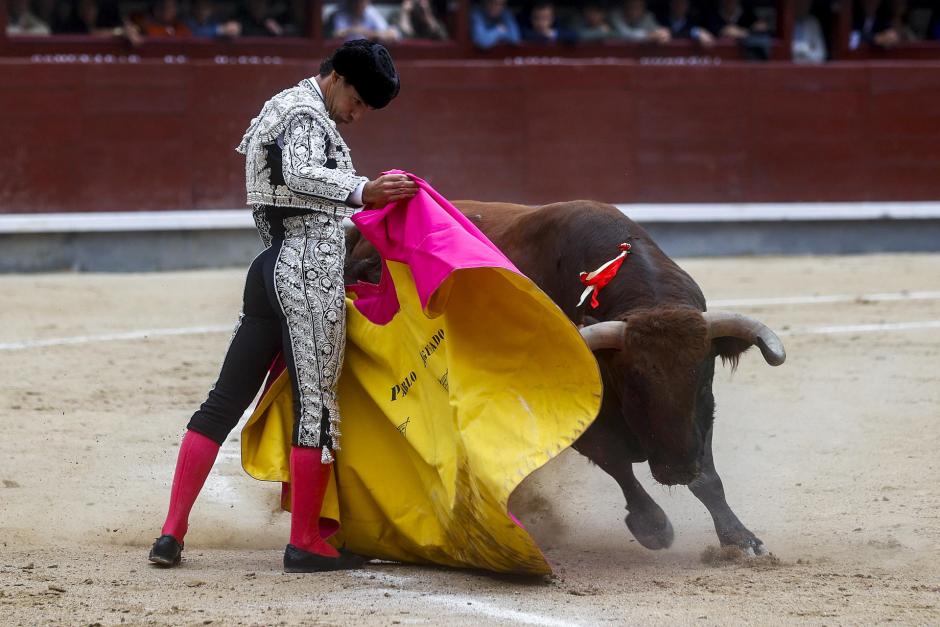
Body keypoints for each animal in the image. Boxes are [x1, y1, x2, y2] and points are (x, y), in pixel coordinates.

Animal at [346, 200, 784, 556]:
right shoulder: (575, 420)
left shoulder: (701, 419)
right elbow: (617, 462)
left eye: (702, 375)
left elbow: (707, 478)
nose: (675, 469)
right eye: (632, 381)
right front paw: (653, 527)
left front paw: (741, 540)